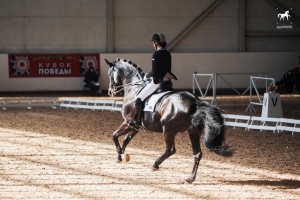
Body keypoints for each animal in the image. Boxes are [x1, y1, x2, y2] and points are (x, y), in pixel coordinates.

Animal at [103, 57, 232, 183]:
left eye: (109, 73)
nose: (110, 91)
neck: (134, 90)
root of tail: (196, 102)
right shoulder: (136, 127)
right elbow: (126, 140)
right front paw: (120, 156)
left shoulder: (128, 122)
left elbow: (114, 135)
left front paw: (120, 155)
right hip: (193, 132)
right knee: (197, 154)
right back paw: (190, 178)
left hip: (169, 131)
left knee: (170, 150)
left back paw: (155, 165)